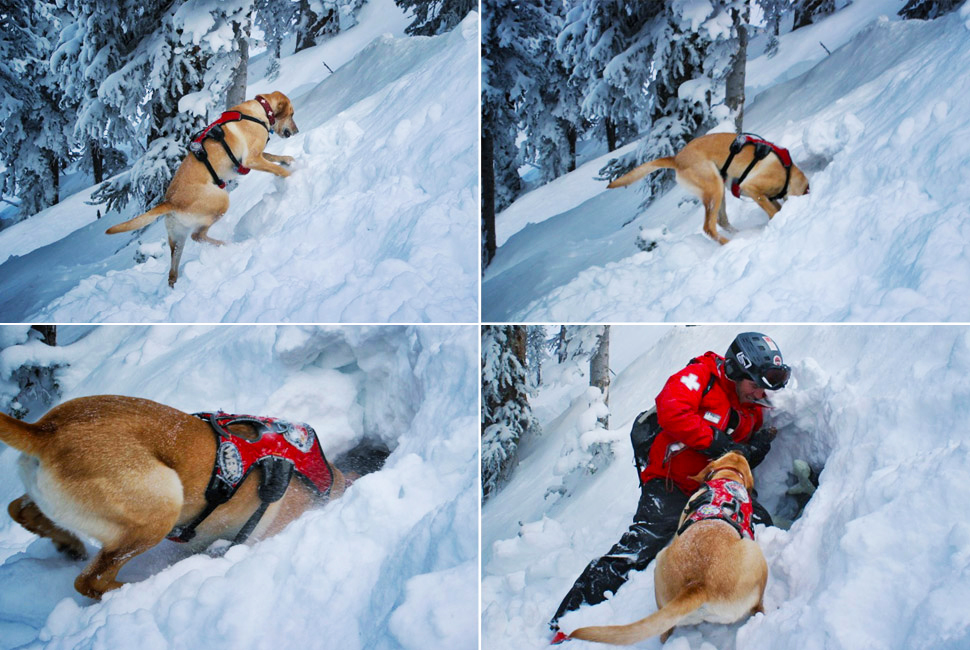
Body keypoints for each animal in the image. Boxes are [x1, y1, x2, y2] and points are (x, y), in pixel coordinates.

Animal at [0, 392, 344, 600]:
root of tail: (45, 430)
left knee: (19, 508)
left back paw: (67, 544)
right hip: (161, 506)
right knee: (89, 581)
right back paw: (138, 589)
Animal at [106, 92, 298, 284]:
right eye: (292, 114)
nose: (296, 132)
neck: (260, 111)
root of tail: (170, 201)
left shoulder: (256, 157)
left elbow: (273, 156)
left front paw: (287, 159)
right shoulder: (251, 160)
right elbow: (277, 168)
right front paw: (294, 174)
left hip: (177, 239)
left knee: (173, 272)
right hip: (221, 201)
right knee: (197, 235)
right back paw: (227, 245)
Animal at [568, 450, 764, 644]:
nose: (738, 450)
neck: (728, 475)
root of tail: (697, 585)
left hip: (660, 566)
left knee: (663, 631)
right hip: (755, 555)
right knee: (758, 605)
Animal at [604, 132, 808, 243]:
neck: (788, 173)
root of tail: (676, 158)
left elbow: (775, 206)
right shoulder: (751, 188)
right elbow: (773, 210)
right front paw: (778, 218)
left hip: (719, 189)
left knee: (721, 221)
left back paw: (740, 235)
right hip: (715, 188)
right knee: (708, 227)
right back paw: (729, 244)